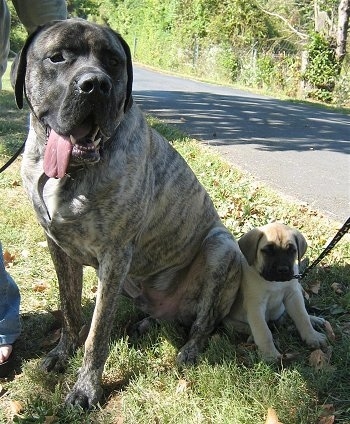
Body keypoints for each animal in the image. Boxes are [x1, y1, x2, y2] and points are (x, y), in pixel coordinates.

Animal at [12, 19, 245, 408]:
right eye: (57, 57)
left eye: (113, 62)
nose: (95, 84)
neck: (73, 172)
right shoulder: (58, 246)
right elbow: (70, 309)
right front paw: (61, 354)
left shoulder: (115, 256)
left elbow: (97, 332)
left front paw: (86, 389)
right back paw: (145, 324)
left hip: (220, 247)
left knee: (204, 322)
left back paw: (188, 350)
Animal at [223, 222, 326, 362]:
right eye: (268, 250)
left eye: (291, 250)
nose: (282, 269)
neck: (274, 282)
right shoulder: (255, 306)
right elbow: (263, 331)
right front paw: (269, 354)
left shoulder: (293, 296)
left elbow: (302, 316)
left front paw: (312, 336)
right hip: (230, 321)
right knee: (248, 327)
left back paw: (314, 319)